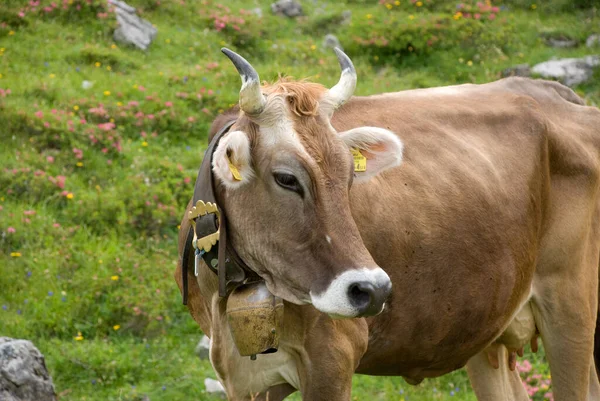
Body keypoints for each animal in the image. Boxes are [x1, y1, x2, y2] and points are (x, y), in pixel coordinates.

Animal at [175, 48, 600, 398]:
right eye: (286, 179)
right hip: (488, 324)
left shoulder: (334, 358)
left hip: (571, 305)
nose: (373, 290)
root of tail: (556, 93)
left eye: (349, 175)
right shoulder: (243, 379)